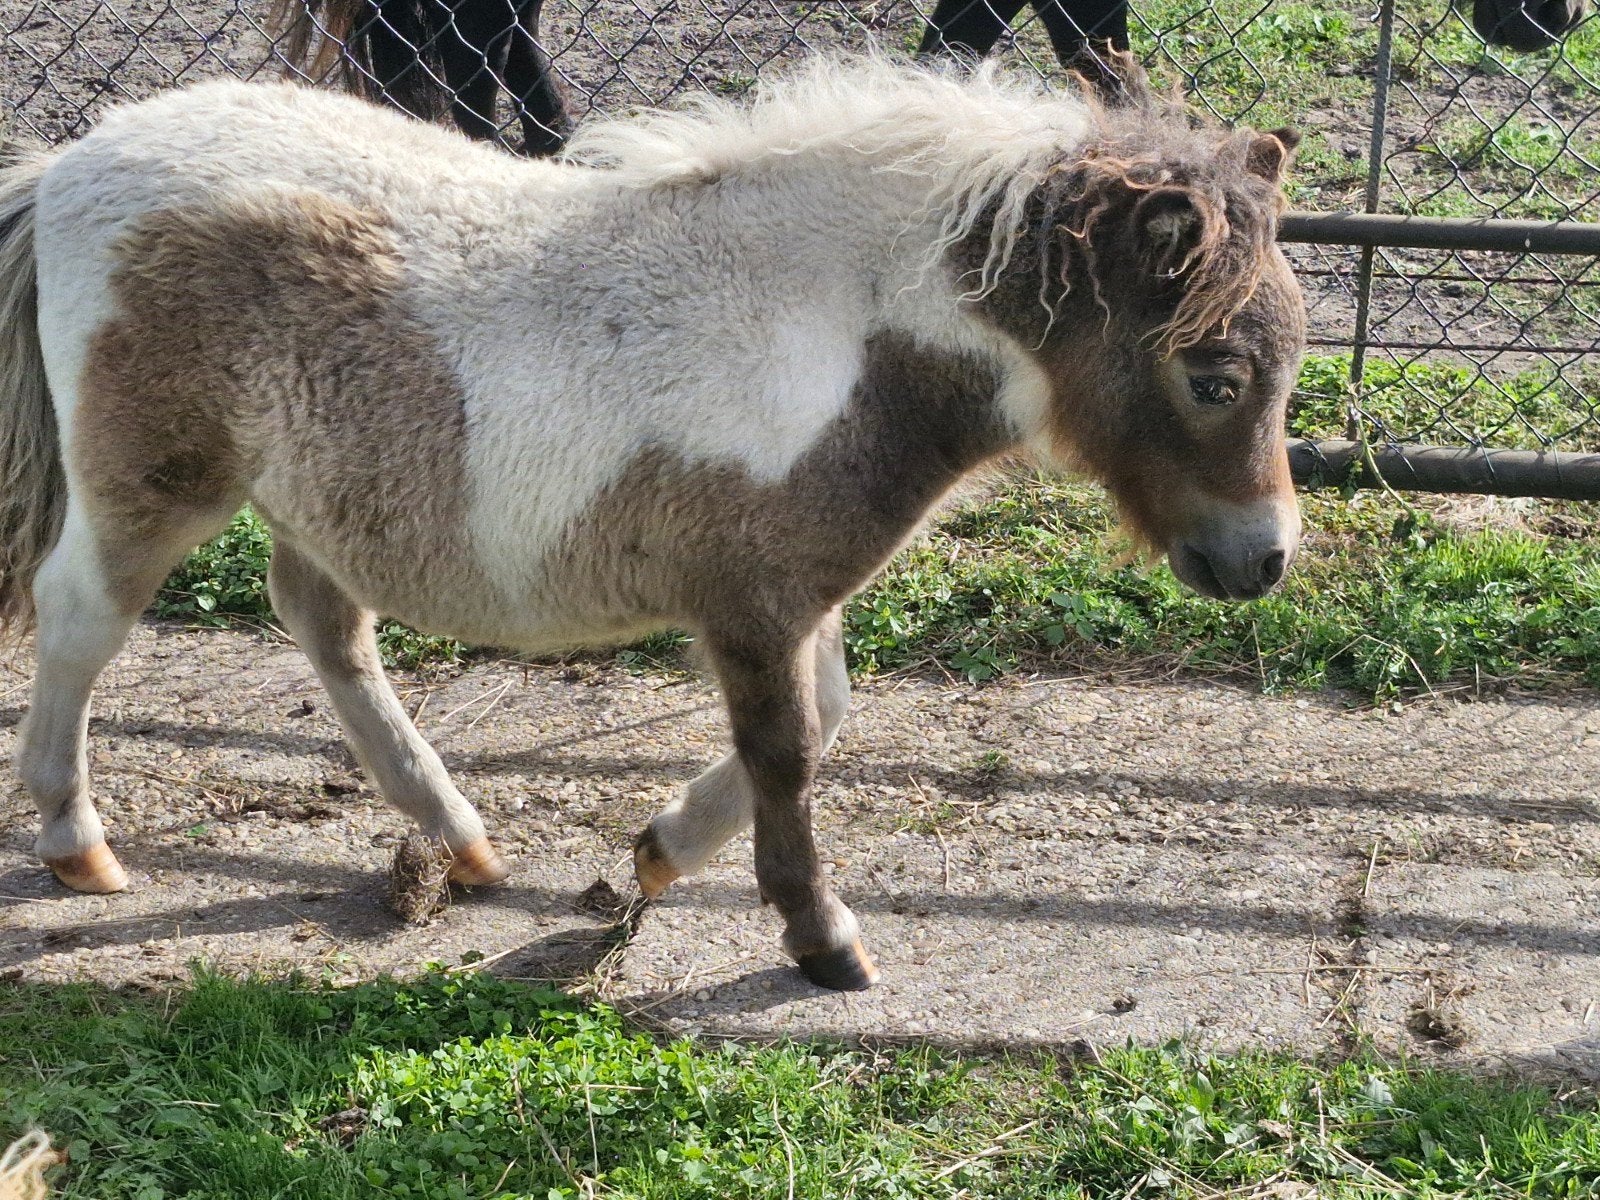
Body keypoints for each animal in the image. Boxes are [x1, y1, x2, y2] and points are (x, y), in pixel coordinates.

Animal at [0, 52, 1305, 991]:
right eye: (1215, 376)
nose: (1262, 560)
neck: (836, 330)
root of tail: (69, 164)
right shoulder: (753, 601)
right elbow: (788, 751)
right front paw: (820, 940)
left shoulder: (790, 591)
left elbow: (825, 717)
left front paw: (660, 851)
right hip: (155, 480)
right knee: (81, 619)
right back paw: (74, 843)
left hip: (316, 493)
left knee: (324, 623)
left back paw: (458, 839)